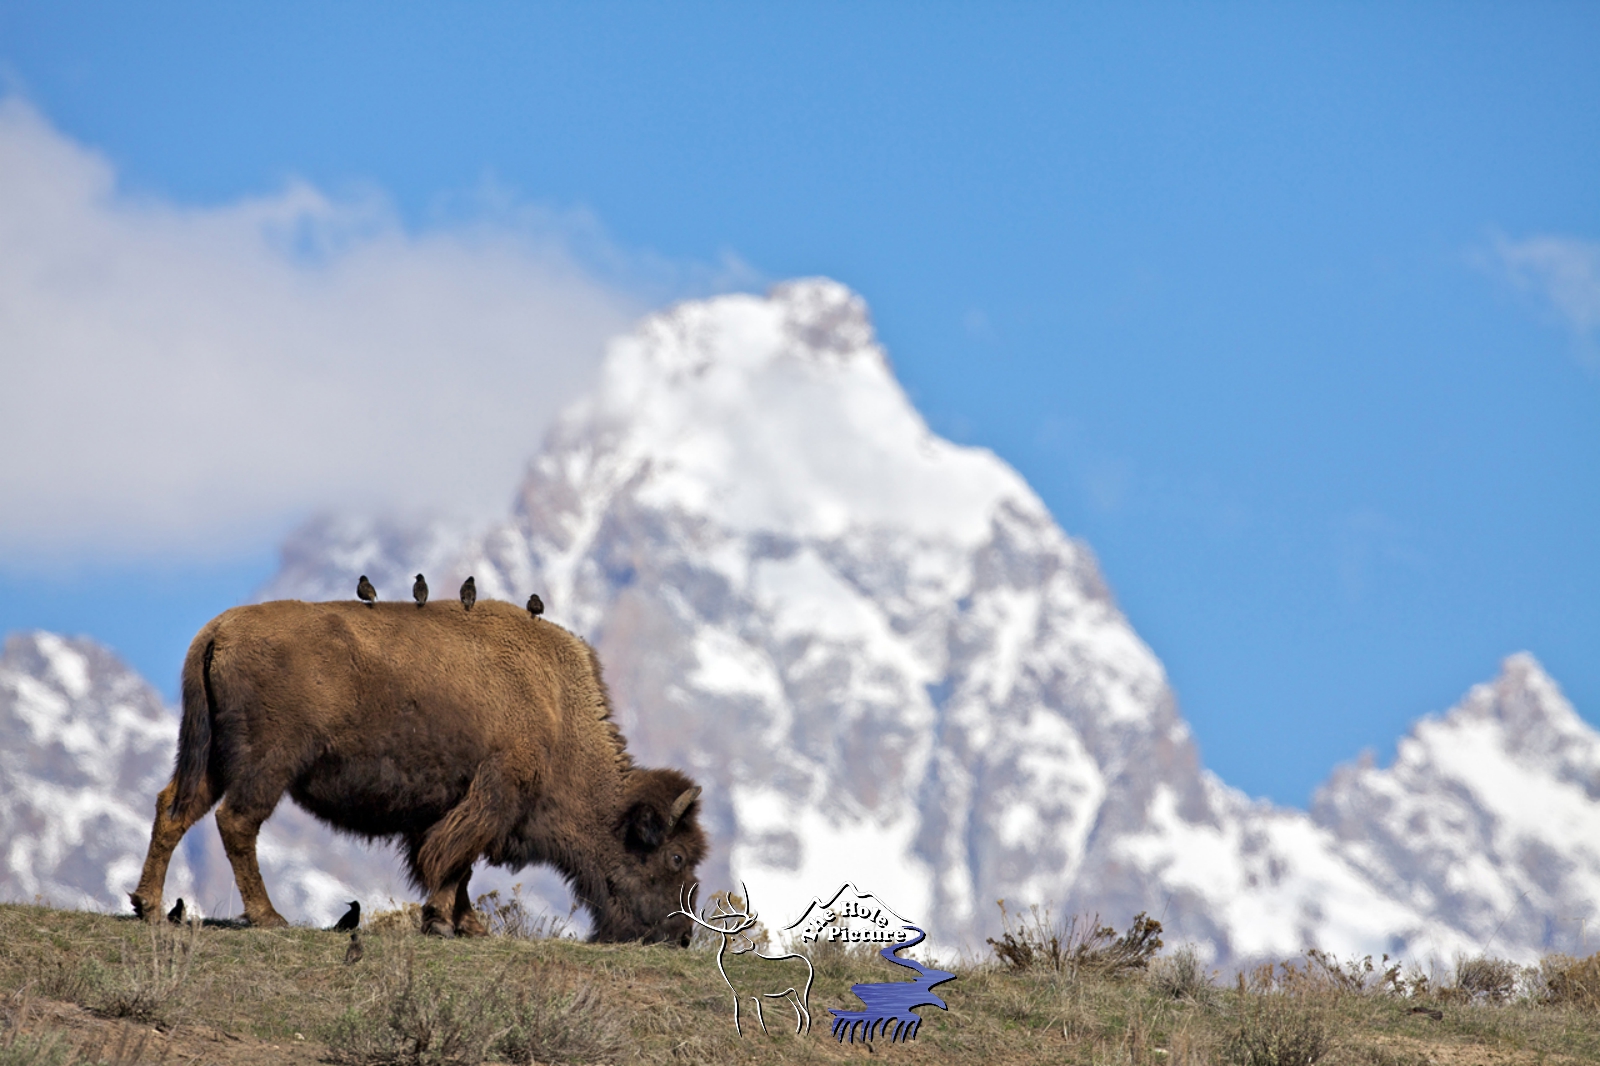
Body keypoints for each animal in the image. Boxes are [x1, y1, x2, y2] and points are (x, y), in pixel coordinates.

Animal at [129, 598, 706, 942]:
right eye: (675, 856)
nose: (680, 937)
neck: (556, 711)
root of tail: (217, 630)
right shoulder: (491, 796)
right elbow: (452, 861)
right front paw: (445, 922)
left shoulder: (449, 805)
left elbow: (454, 864)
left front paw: (465, 925)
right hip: (266, 766)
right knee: (237, 823)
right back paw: (269, 916)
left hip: (210, 759)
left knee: (174, 809)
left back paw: (148, 906)